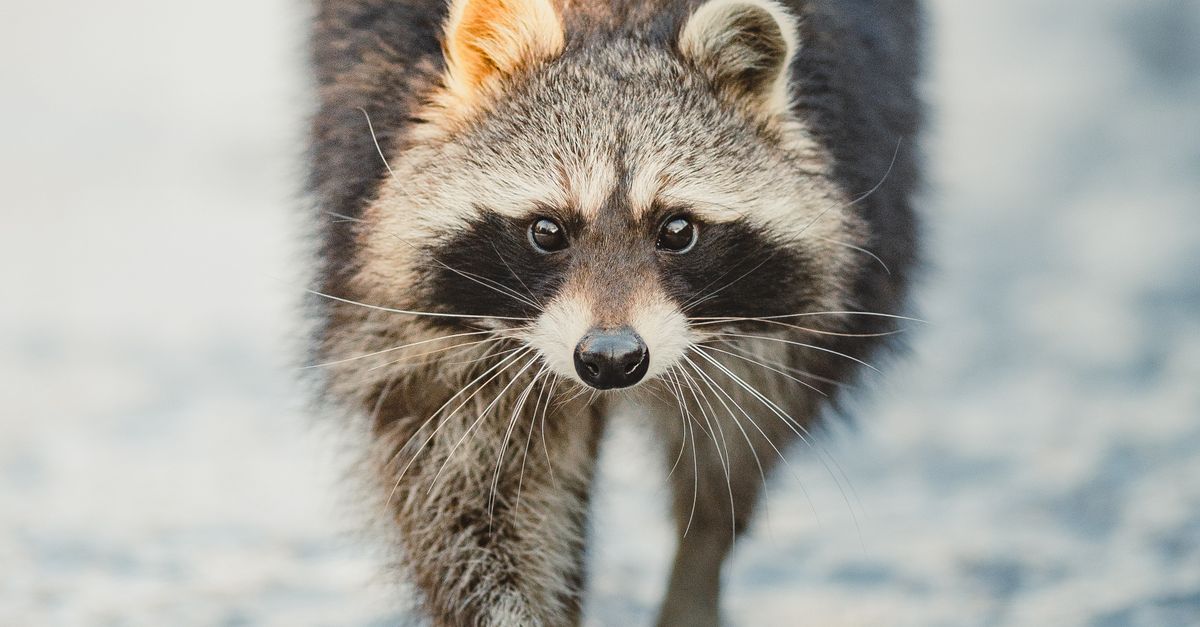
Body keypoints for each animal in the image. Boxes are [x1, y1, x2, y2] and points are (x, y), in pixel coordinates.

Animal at [309, 0, 921, 624]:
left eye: (677, 230)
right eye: (546, 231)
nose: (610, 358)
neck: (614, 18)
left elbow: (737, 441)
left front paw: (702, 550)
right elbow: (472, 488)